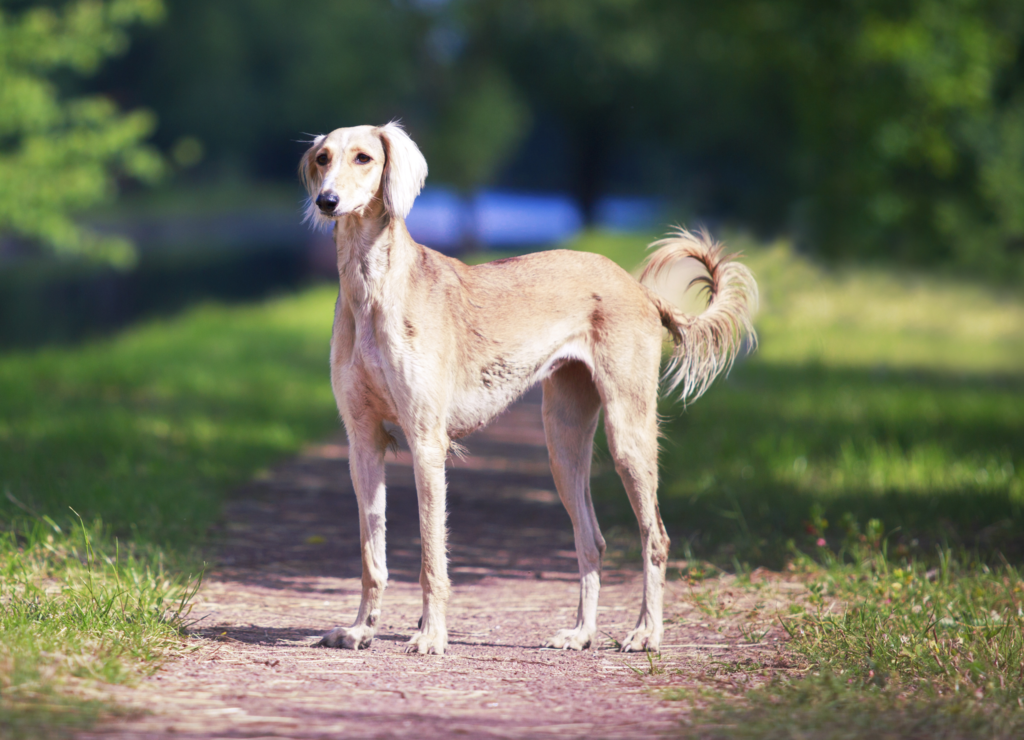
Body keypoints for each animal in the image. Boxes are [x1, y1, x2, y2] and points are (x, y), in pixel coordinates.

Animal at [299, 121, 757, 655]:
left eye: (364, 158)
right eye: (324, 158)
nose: (327, 201)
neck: (372, 288)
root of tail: (638, 288)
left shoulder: (427, 443)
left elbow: (432, 557)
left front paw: (431, 635)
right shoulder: (363, 444)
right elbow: (371, 554)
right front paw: (360, 629)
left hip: (629, 436)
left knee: (655, 538)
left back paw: (646, 632)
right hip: (563, 443)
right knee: (591, 539)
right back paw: (582, 633)